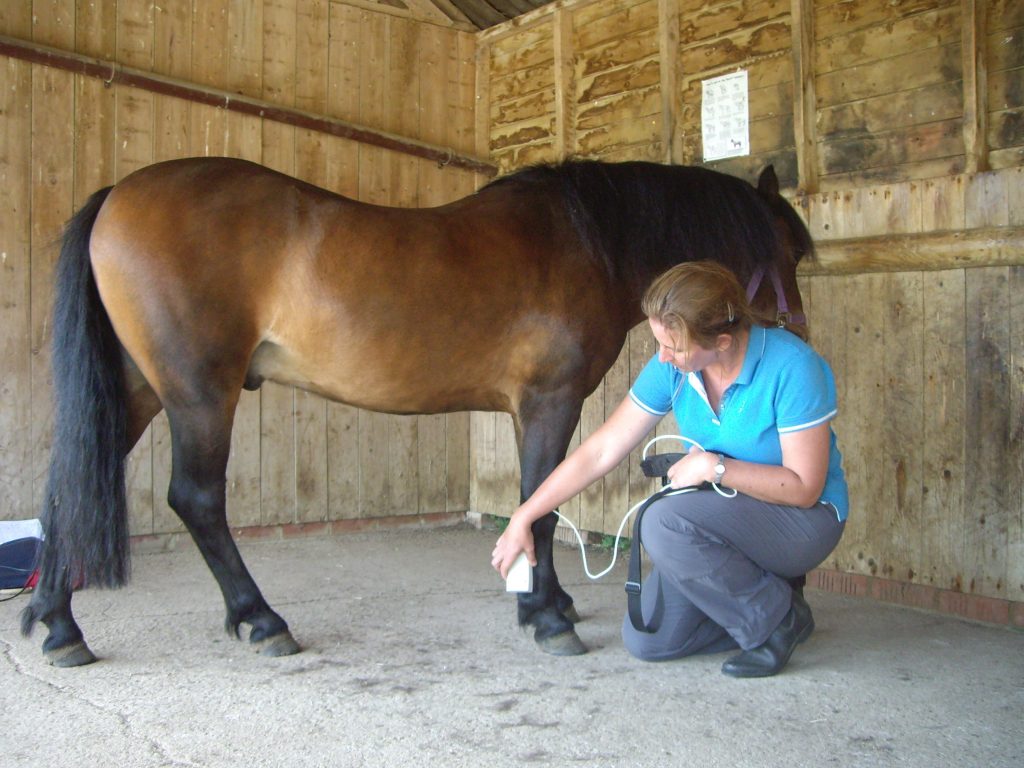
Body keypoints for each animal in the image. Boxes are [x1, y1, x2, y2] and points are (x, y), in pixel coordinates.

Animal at [19, 157, 811, 667]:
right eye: (794, 247)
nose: (798, 332)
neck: (589, 238)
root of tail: (118, 193)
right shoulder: (549, 400)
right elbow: (539, 503)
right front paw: (546, 617)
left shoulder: (529, 410)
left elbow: (539, 501)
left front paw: (546, 600)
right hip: (197, 392)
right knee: (197, 499)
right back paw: (260, 620)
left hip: (140, 389)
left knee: (69, 490)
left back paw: (59, 627)